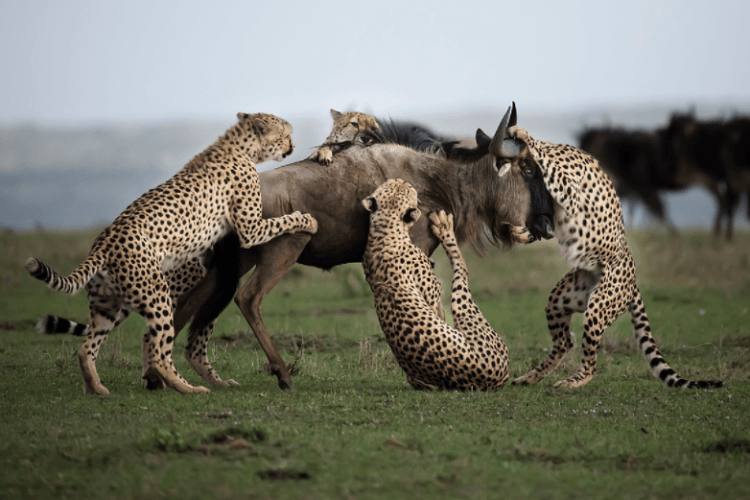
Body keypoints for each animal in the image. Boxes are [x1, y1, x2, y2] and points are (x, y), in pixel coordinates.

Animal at [25, 112, 318, 394]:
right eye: (286, 134)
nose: (293, 145)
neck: (239, 145)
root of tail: (103, 243)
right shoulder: (250, 229)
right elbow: (282, 221)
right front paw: (307, 220)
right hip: (158, 298)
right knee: (158, 354)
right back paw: (190, 389)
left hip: (107, 307)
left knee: (87, 348)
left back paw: (96, 389)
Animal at [362, 179, 512, 390]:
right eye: (407, 189)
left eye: (391, 184)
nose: (403, 180)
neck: (385, 228)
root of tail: (499, 378)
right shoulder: (432, 294)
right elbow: (439, 310)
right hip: (466, 309)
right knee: (462, 268)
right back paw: (444, 227)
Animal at [494, 102, 724, 390]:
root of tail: (633, 280)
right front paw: (517, 230)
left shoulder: (570, 194)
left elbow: (543, 159)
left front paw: (523, 134)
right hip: (561, 299)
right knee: (565, 341)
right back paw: (531, 376)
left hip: (598, 306)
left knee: (590, 363)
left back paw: (574, 381)